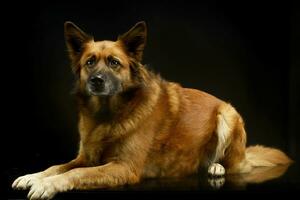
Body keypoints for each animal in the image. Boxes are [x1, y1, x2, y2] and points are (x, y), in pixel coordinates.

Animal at [12, 21, 292, 199]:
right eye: (89, 62)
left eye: (114, 63)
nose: (96, 81)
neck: (109, 115)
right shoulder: (87, 157)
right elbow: (58, 166)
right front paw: (33, 176)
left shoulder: (124, 167)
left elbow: (77, 173)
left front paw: (48, 185)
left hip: (228, 114)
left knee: (238, 166)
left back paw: (216, 167)